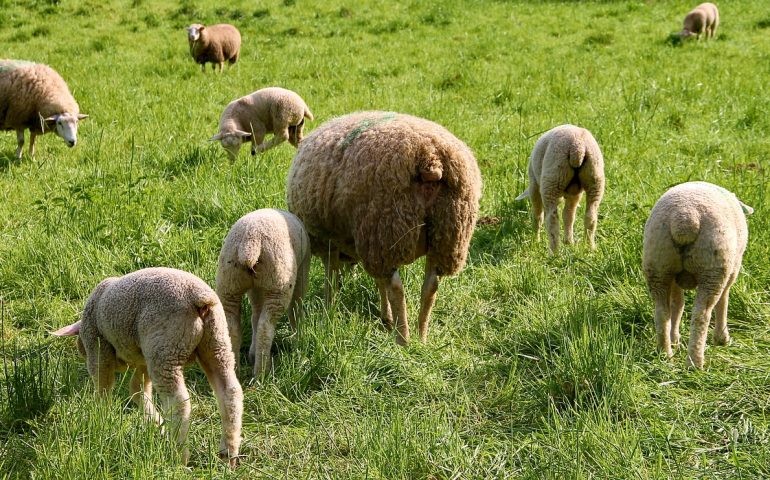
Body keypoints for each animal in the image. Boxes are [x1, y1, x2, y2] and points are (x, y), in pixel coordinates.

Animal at [51, 266, 242, 464]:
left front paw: (101, 415)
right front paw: (157, 424)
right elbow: (138, 390)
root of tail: (199, 297)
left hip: (165, 348)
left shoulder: (98, 348)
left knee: (179, 402)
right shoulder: (143, 361)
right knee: (230, 391)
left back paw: (179, 455)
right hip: (216, 342)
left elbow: (104, 387)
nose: (80, 349)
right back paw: (228, 452)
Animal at [214, 208, 310, 376]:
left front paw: (252, 353)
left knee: (233, 327)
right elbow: (296, 308)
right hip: (278, 285)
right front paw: (299, 337)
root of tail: (250, 243)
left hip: (229, 283)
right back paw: (262, 373)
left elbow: (255, 315)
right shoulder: (303, 268)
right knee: (265, 328)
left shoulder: (256, 289)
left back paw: (235, 370)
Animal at [284, 111, 480, 344]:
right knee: (430, 284)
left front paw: (328, 313)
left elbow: (331, 280)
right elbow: (378, 282)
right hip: (447, 235)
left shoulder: (329, 242)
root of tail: (431, 159)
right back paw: (421, 336)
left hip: (384, 229)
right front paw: (385, 316)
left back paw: (403, 339)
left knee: (396, 287)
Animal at [512, 124, 604, 255]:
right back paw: (589, 247)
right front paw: (569, 242)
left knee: (552, 218)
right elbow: (568, 215)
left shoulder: (534, 185)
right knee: (590, 215)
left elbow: (538, 215)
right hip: (595, 179)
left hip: (553, 179)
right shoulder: (574, 194)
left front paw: (535, 240)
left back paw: (553, 252)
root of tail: (578, 147)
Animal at [636, 182, 752, 370]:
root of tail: (685, 219)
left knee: (661, 312)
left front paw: (675, 339)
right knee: (701, 315)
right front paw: (722, 338)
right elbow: (724, 301)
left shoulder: (674, 278)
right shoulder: (732, 269)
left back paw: (665, 353)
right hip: (713, 268)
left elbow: (677, 304)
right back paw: (695, 362)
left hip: (657, 264)